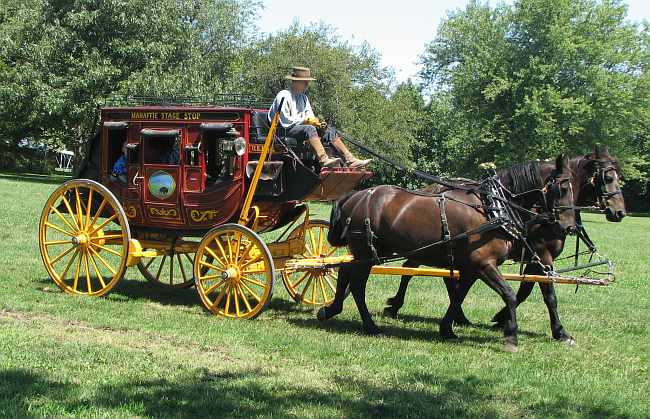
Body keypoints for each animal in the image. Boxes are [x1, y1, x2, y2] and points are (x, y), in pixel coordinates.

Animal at [316, 154, 576, 352]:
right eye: (563, 187)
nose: (568, 227)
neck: (492, 207)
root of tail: (355, 196)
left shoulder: (471, 267)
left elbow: (458, 295)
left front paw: (447, 328)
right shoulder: (485, 263)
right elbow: (510, 294)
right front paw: (511, 335)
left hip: (369, 252)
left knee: (346, 271)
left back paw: (331, 309)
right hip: (365, 251)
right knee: (358, 285)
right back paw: (370, 325)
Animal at [384, 148, 624, 344]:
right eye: (608, 177)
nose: (620, 212)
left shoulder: (533, 259)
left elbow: (525, 290)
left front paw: (502, 319)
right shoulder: (542, 255)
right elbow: (546, 295)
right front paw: (559, 332)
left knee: (434, 274)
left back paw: (456, 316)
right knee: (411, 269)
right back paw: (397, 306)